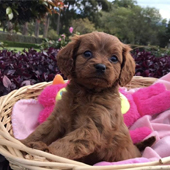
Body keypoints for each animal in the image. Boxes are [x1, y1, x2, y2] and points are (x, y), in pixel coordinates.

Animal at [21, 31, 141, 165]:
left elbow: (69, 142)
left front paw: (48, 151)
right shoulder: (58, 117)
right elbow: (43, 131)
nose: (100, 66)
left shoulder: (94, 127)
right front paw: (23, 143)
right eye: (87, 53)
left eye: (114, 58)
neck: (87, 92)